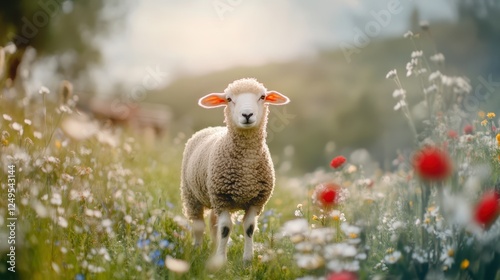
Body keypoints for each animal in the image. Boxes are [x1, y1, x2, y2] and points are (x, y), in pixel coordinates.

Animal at [181, 77, 292, 264]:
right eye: (229, 99)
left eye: (262, 97)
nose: (247, 115)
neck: (245, 167)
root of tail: (212, 128)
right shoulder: (222, 197)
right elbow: (226, 228)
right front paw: (221, 260)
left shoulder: (257, 200)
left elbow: (249, 228)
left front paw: (247, 260)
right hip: (191, 195)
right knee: (198, 225)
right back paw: (197, 248)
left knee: (213, 224)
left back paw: (213, 248)